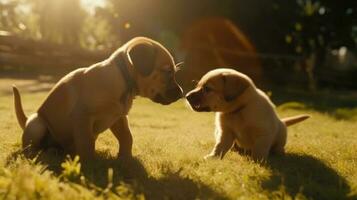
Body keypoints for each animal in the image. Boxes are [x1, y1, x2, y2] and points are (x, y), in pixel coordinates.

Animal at [12, 36, 182, 160]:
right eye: (167, 72)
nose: (181, 94)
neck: (123, 79)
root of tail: (26, 121)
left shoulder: (118, 118)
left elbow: (127, 137)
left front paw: (126, 159)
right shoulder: (82, 117)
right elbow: (86, 145)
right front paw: (89, 167)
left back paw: (54, 152)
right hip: (37, 124)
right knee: (29, 147)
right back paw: (39, 154)